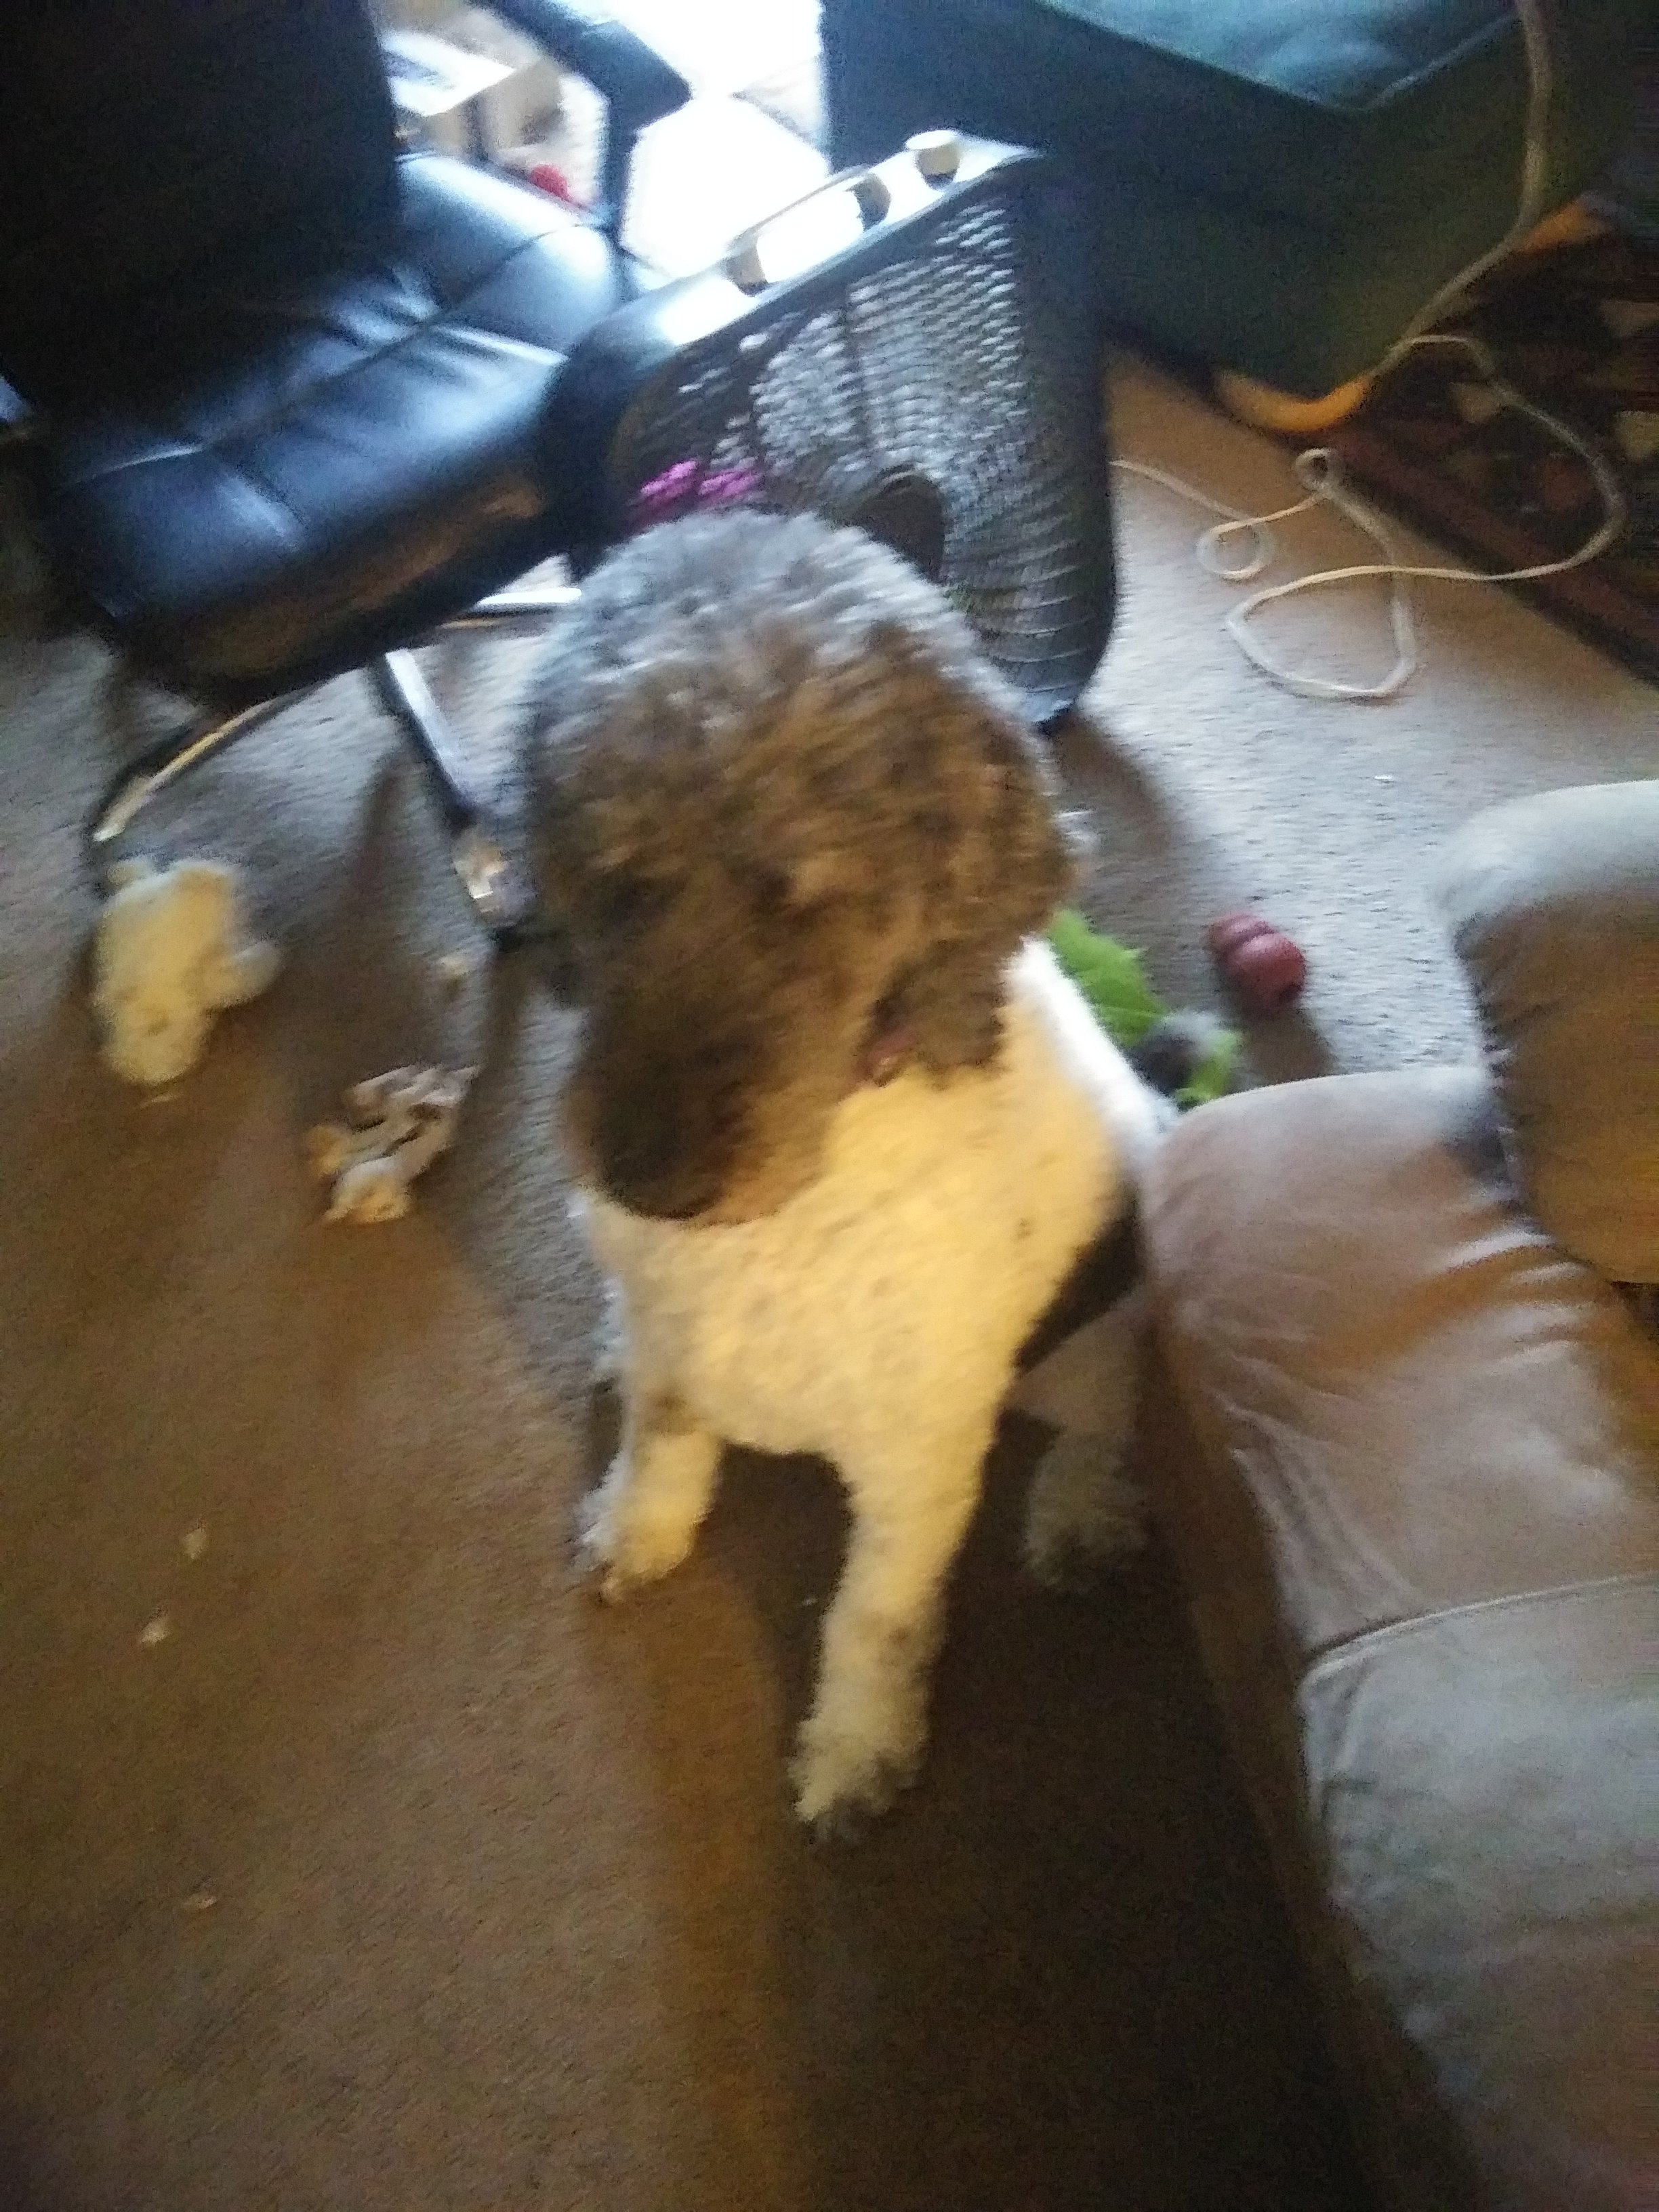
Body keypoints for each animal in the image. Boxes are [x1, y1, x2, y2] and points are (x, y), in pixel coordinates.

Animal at [517, 509, 1189, 1835]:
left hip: (1105, 1340)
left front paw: (856, 1751)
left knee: (1103, 1433)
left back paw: (1079, 1513)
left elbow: (874, 1619)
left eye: (807, 899)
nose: (650, 1177)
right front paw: (633, 1530)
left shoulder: (913, 1465)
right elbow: (660, 1453)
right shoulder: (676, 1350)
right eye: (613, 873)